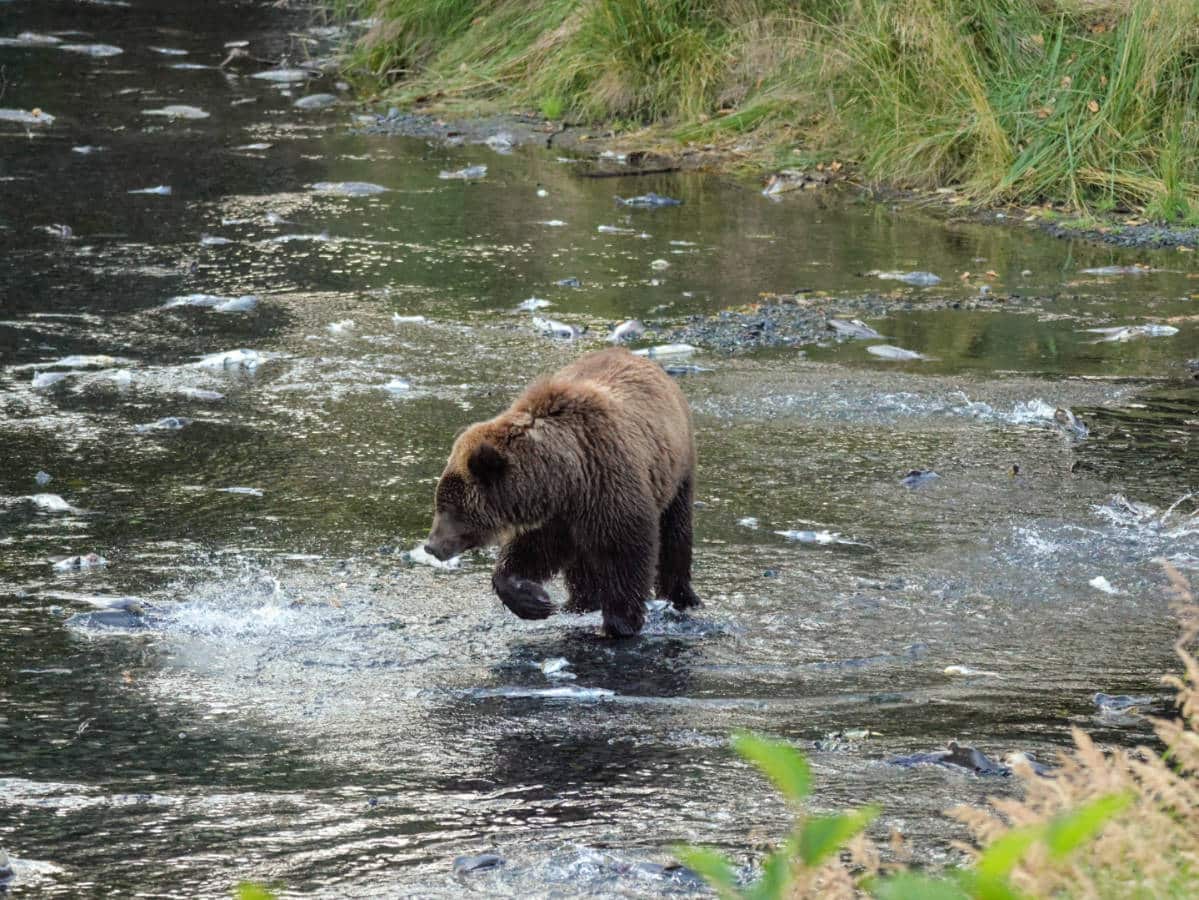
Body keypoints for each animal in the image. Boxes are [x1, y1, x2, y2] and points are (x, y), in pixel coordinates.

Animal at [423, 346, 699, 637]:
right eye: (439, 503)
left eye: (451, 508)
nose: (432, 545)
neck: (562, 480)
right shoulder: (556, 516)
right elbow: (532, 552)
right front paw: (535, 601)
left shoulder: (608, 485)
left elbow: (626, 551)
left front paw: (620, 622)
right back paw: (580, 602)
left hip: (677, 471)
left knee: (675, 532)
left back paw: (681, 596)